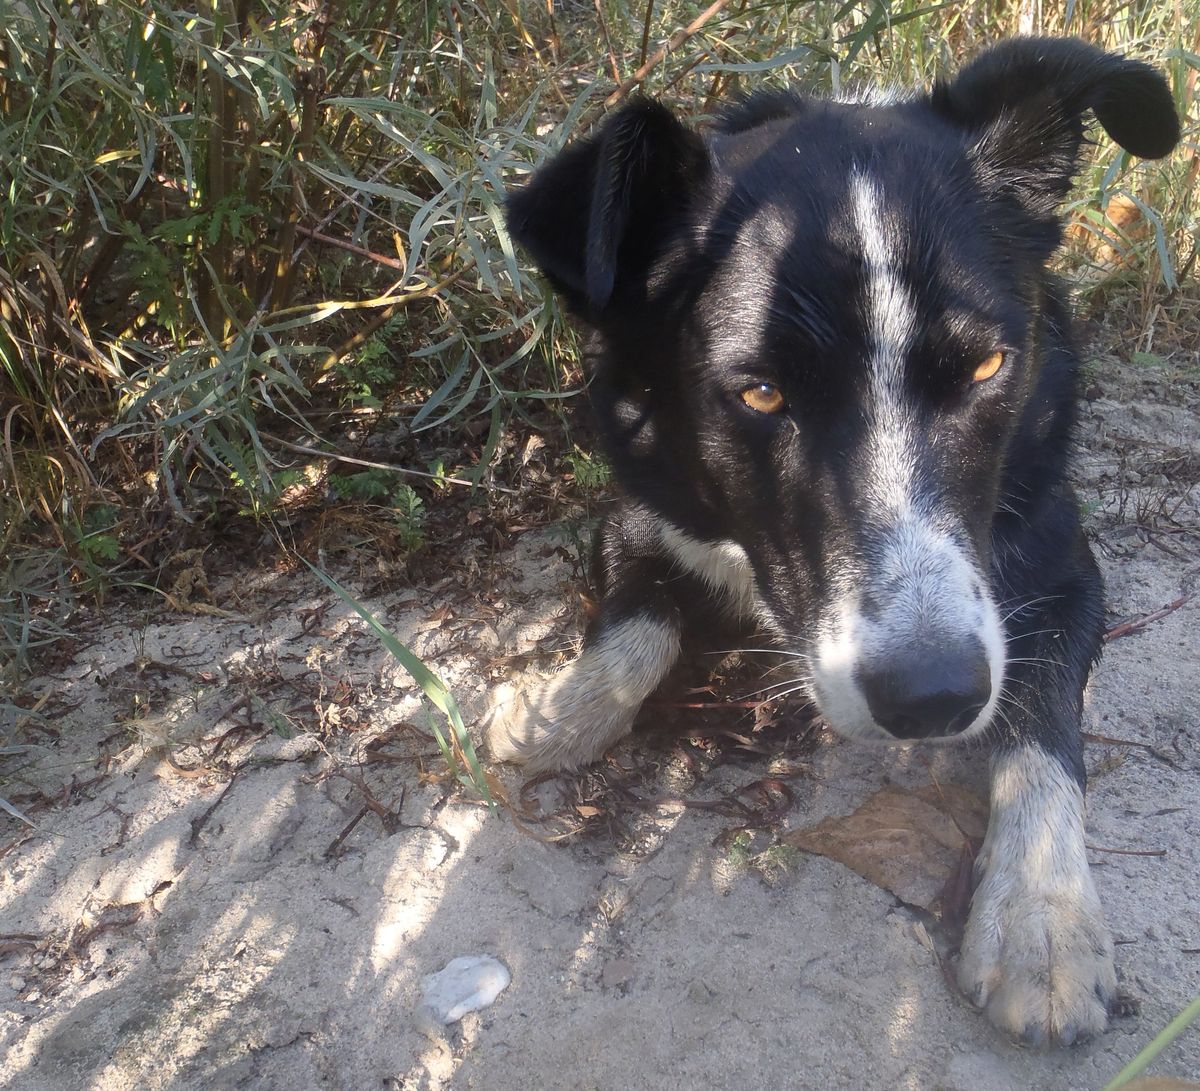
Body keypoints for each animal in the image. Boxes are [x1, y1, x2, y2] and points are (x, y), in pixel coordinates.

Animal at [487, 40, 1180, 1046]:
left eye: (987, 365)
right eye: (761, 393)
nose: (934, 697)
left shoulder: (1061, 565)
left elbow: (1044, 728)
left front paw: (1040, 920)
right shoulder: (636, 510)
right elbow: (636, 625)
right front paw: (556, 713)